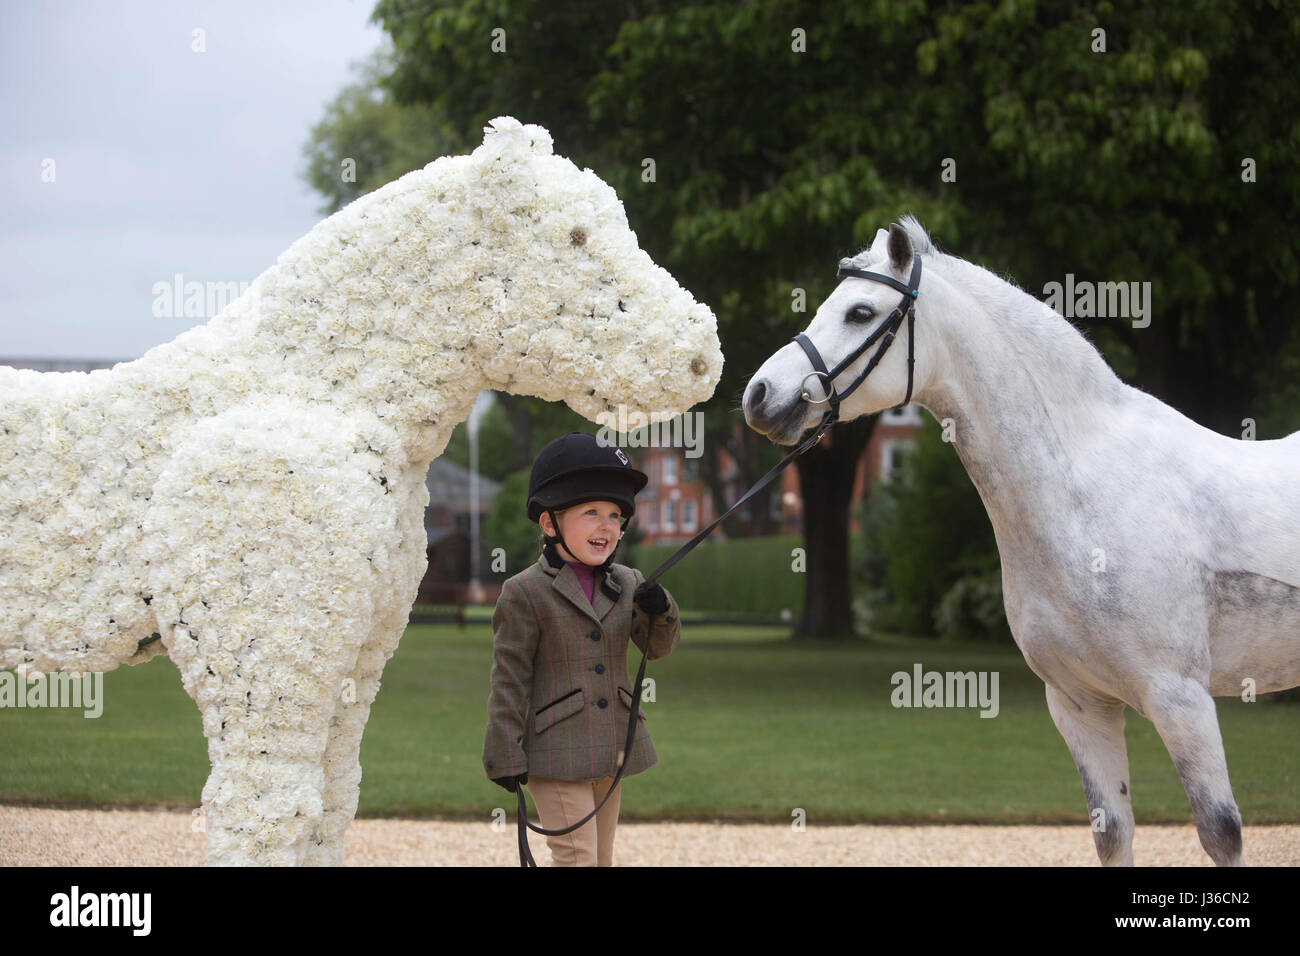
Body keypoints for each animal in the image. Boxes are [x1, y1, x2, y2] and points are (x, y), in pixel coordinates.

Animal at [0, 117, 722, 868]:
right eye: (577, 235)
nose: (701, 356)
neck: (321, 393)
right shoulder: (263, 675)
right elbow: (265, 817)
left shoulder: (354, 659)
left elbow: (331, 805)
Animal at [743, 218, 1300, 868]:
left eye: (860, 311)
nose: (760, 394)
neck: (1081, 494)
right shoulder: (1080, 704)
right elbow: (1111, 831)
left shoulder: (1181, 698)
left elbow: (1220, 831)